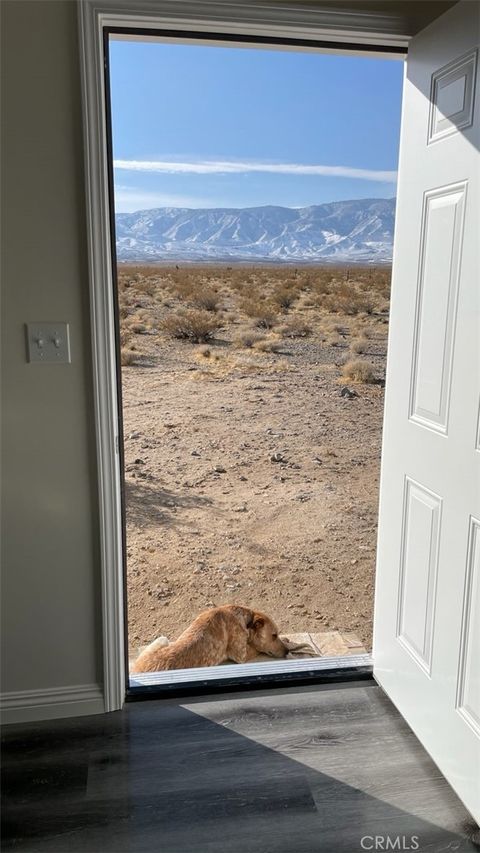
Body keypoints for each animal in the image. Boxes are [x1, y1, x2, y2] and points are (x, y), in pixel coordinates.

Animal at [129, 600, 286, 672]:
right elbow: (256, 648)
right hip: (163, 638)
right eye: (274, 635)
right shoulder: (241, 655)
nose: (287, 652)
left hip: (162, 639)